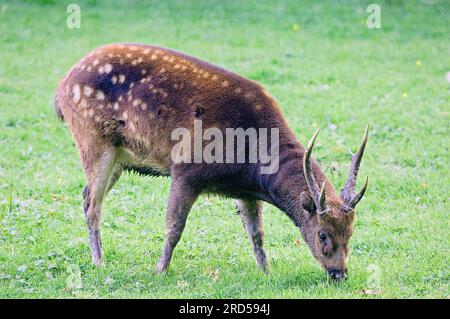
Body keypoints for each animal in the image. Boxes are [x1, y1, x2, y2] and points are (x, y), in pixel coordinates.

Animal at [55, 43, 370, 282]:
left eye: (352, 232)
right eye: (322, 234)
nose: (340, 274)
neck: (249, 165)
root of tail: (60, 88)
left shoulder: (246, 191)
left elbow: (257, 234)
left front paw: (266, 272)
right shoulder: (186, 169)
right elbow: (174, 228)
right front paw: (160, 271)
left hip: (120, 159)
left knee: (85, 194)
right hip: (93, 139)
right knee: (92, 204)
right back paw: (99, 262)